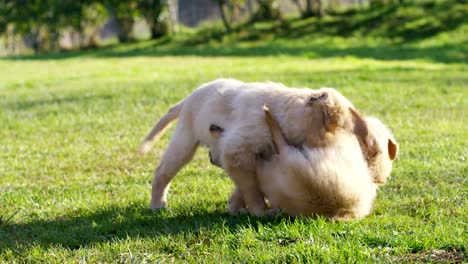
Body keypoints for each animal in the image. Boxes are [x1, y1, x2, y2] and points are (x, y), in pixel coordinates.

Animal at [139, 79, 370, 217]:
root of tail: (187, 99)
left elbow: (248, 183)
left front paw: (236, 206)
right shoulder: (238, 150)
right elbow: (252, 187)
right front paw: (259, 210)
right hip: (185, 140)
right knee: (162, 172)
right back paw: (157, 204)